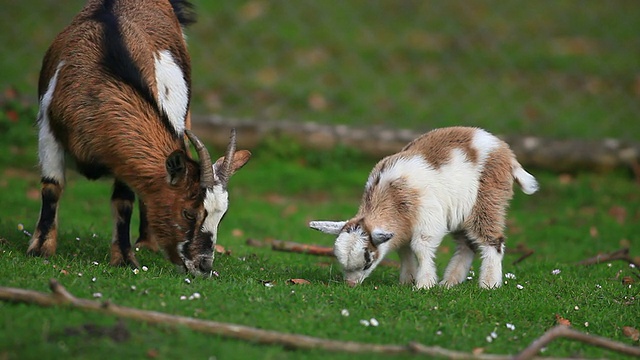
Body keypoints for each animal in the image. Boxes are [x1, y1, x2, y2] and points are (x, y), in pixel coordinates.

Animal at [29, 0, 250, 276]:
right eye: (189, 213)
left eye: (222, 216)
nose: (203, 266)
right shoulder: (48, 130)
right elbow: (51, 188)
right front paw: (40, 249)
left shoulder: (122, 158)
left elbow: (124, 201)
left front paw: (124, 258)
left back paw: (146, 243)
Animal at [308, 126, 536, 290]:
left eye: (367, 263)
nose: (350, 285)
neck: (390, 195)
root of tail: (507, 153)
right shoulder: (401, 228)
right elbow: (404, 249)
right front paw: (407, 280)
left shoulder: (428, 218)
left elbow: (420, 247)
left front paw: (423, 284)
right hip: (461, 213)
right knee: (466, 245)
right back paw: (449, 283)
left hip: (487, 200)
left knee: (492, 240)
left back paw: (489, 284)